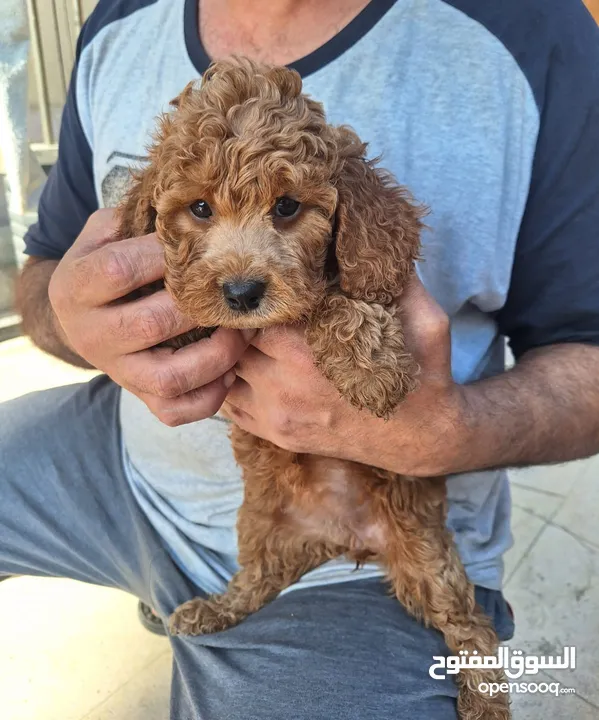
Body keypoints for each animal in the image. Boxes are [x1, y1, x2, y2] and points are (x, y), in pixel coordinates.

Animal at [116, 57, 510, 720]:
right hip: (260, 526)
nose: (242, 293)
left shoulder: (380, 280)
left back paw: (484, 698)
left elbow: (330, 300)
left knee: (468, 625)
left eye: (287, 206)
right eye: (199, 208)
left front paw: (371, 369)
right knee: (256, 581)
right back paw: (213, 609)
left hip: (427, 554)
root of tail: (340, 540)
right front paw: (181, 315)